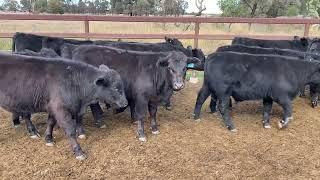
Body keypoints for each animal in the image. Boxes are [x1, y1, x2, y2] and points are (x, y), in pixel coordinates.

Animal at [71, 44, 199, 141]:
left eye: (185, 68)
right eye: (170, 68)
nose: (179, 85)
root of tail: (79, 49)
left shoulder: (153, 98)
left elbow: (153, 113)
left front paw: (154, 129)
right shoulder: (141, 97)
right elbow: (141, 115)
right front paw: (141, 134)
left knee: (94, 105)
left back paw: (99, 122)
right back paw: (82, 132)